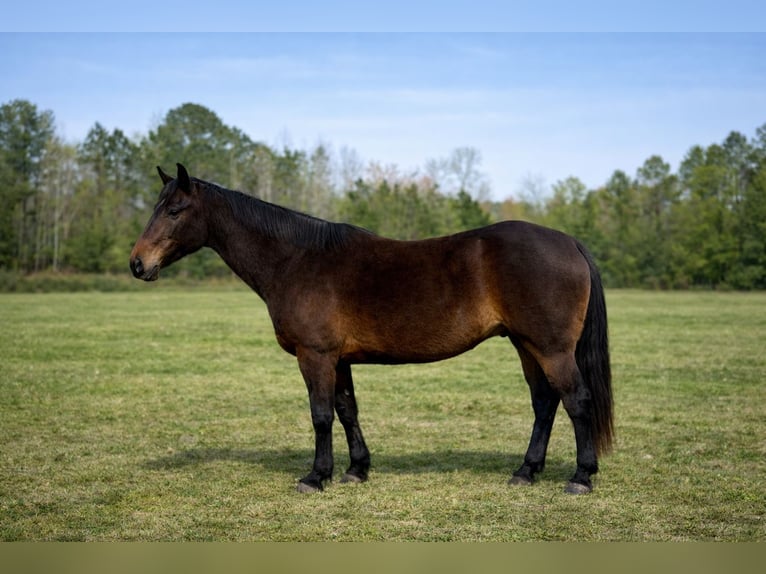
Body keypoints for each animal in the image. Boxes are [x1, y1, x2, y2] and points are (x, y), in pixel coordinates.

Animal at [130, 163, 613, 495]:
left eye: (175, 210)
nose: (137, 263)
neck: (297, 260)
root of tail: (568, 241)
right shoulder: (338, 359)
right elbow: (347, 411)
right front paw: (356, 469)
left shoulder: (316, 356)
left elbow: (321, 415)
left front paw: (316, 476)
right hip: (526, 344)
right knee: (545, 404)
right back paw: (526, 471)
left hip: (551, 349)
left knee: (576, 401)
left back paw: (581, 477)